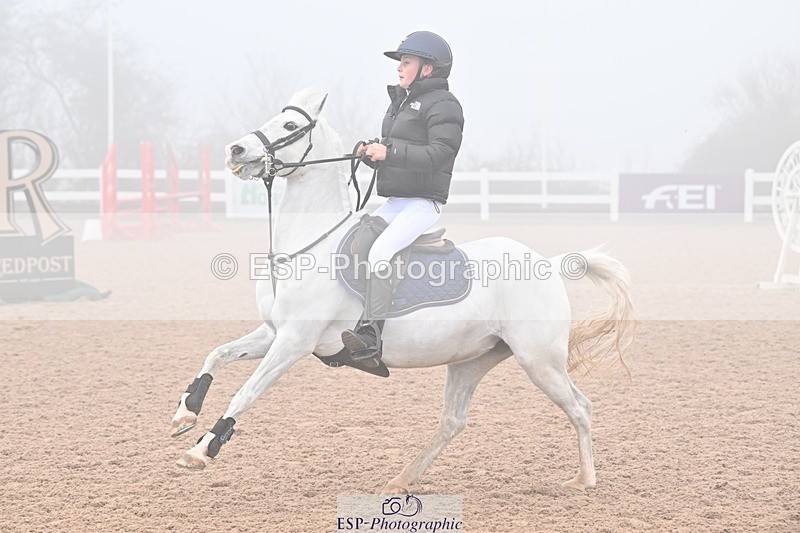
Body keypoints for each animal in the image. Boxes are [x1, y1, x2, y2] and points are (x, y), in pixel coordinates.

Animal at [170, 88, 635, 493]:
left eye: (289, 124)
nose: (235, 150)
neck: (310, 244)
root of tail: (547, 263)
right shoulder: (272, 333)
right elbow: (217, 354)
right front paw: (184, 414)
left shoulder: (294, 341)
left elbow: (246, 393)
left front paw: (202, 450)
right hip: (471, 361)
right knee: (453, 421)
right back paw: (402, 479)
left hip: (539, 361)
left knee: (580, 407)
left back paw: (583, 480)